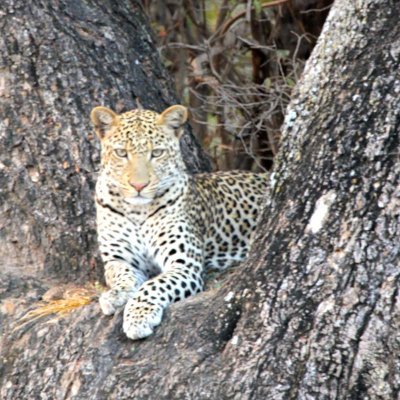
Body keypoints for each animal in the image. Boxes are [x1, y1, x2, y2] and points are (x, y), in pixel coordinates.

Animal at [89, 104, 268, 340]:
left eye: (156, 153)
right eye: (121, 153)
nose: (139, 186)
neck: (137, 211)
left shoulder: (184, 264)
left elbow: (154, 285)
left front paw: (138, 316)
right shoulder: (118, 260)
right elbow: (122, 276)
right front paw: (116, 295)